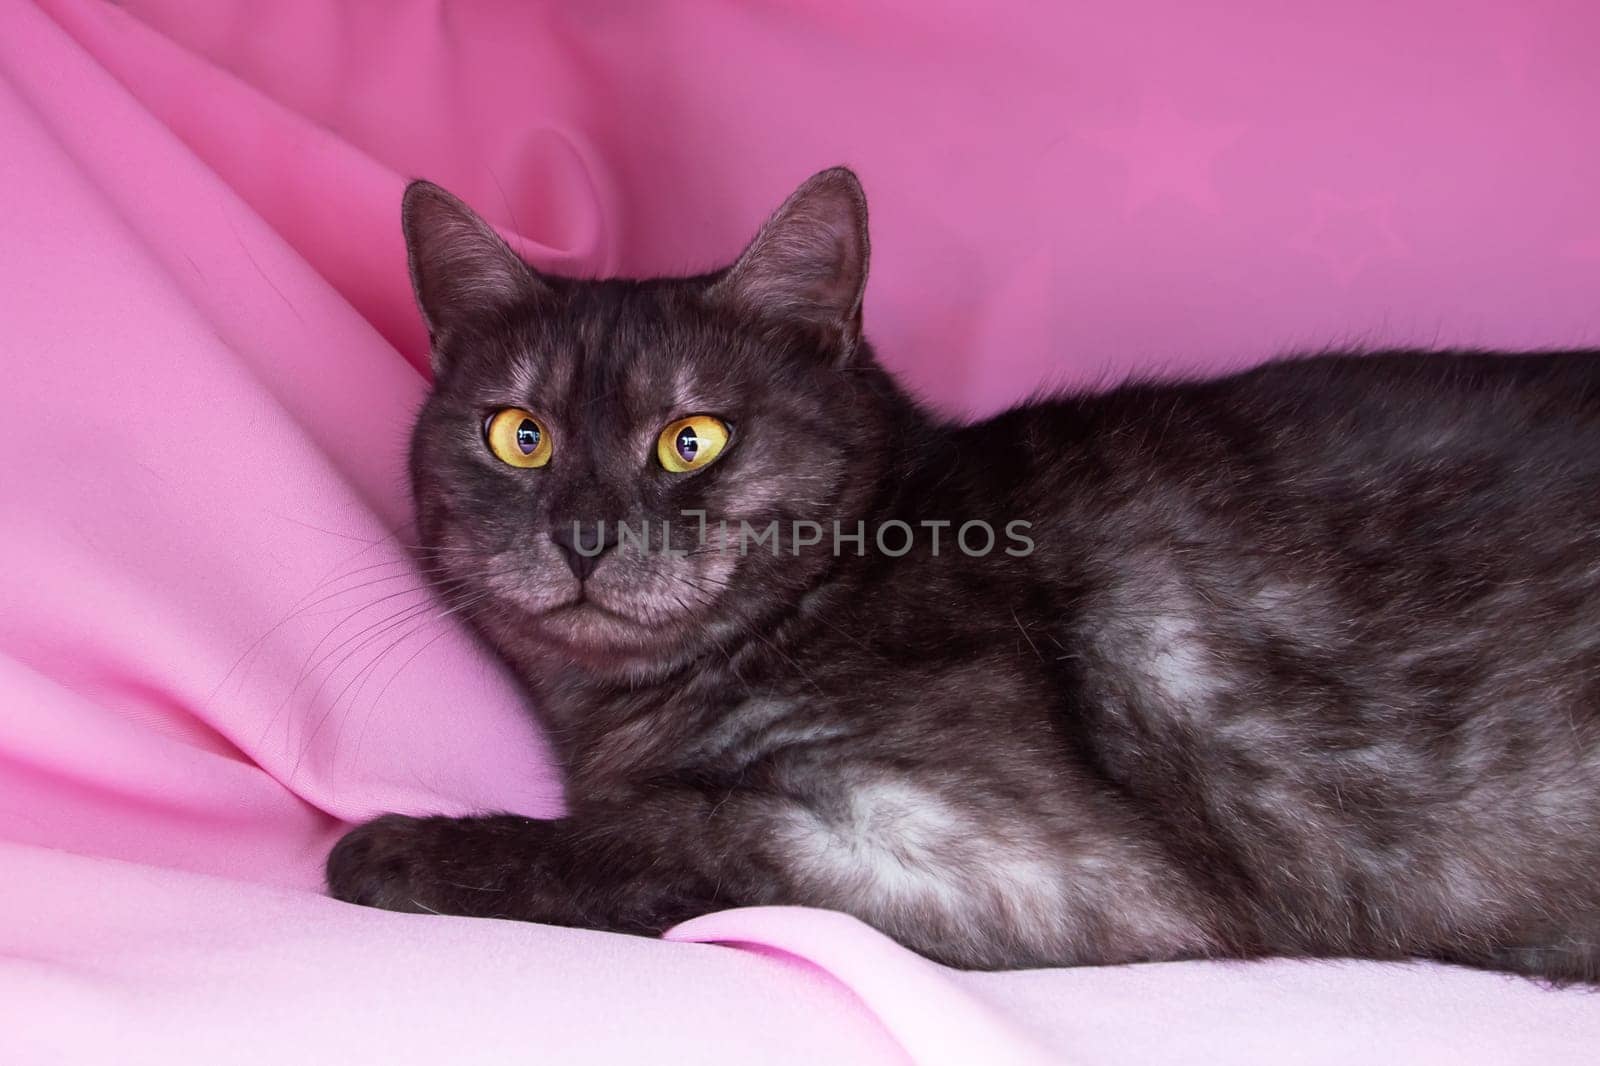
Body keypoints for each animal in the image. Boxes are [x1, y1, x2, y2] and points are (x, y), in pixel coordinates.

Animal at [324, 168, 1600, 979]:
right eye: (518, 437)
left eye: (693, 439)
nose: (585, 532)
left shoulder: (1010, 863)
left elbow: (665, 835)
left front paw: (388, 846)